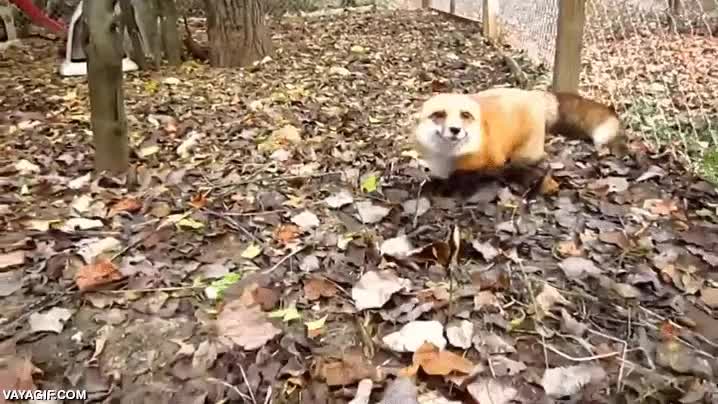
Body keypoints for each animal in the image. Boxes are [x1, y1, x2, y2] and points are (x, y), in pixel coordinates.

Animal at [412, 87, 626, 190]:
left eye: (465, 115)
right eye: (439, 114)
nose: (455, 130)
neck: (448, 158)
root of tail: (533, 94)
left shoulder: (491, 161)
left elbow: (471, 176)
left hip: (526, 152)